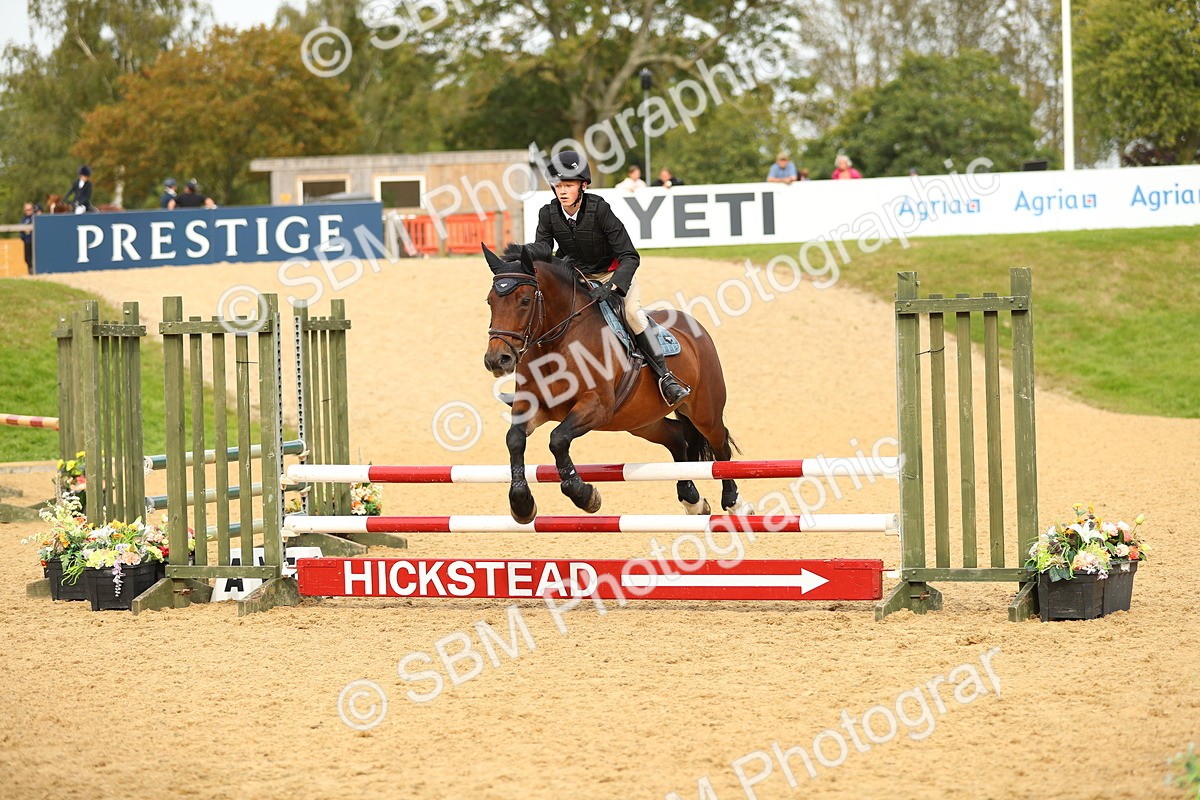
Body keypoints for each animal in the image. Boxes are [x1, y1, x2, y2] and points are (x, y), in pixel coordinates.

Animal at [482, 241, 749, 524]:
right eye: (490, 301)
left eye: (524, 301)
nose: (497, 360)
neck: (557, 342)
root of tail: (694, 327)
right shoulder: (533, 405)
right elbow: (515, 439)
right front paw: (521, 503)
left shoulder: (597, 405)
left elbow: (558, 438)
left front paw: (584, 495)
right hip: (641, 421)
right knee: (677, 438)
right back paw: (692, 500)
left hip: (704, 411)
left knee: (720, 447)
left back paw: (735, 503)